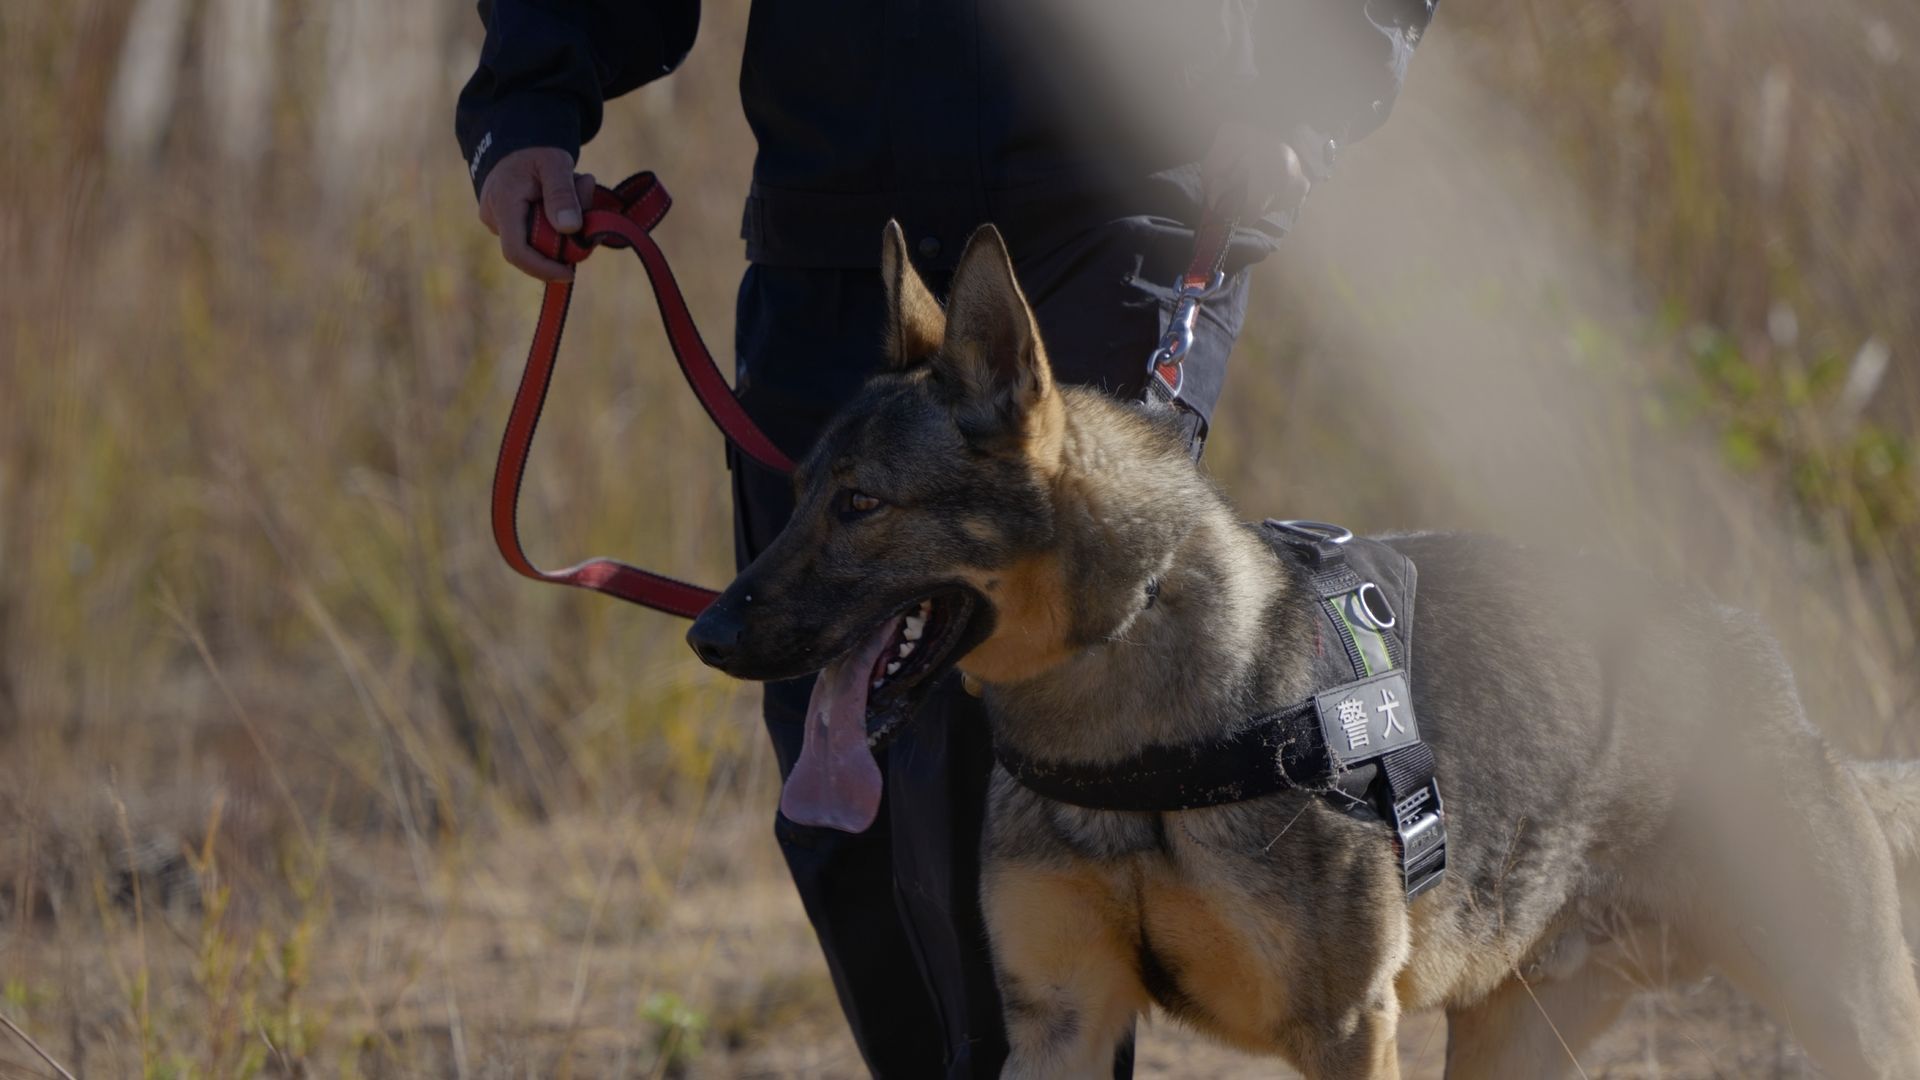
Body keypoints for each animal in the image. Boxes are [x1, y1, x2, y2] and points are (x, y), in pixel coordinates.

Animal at [687, 222, 1920, 1068]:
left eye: (862, 505)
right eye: (798, 496)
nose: (707, 633)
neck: (1123, 722)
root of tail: (1778, 683)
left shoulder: (1344, 1026)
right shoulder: (1059, 1024)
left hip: (1855, 1022)